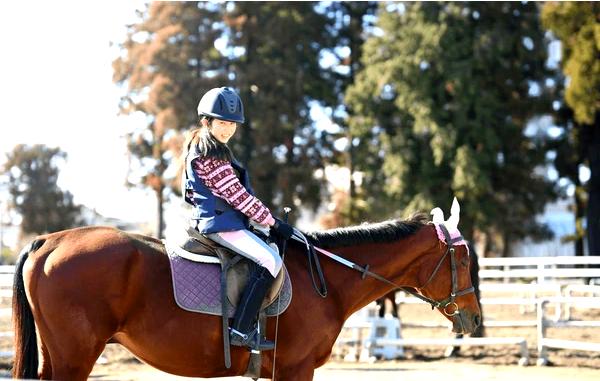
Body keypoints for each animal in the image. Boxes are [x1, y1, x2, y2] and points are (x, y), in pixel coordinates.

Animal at [11, 214, 480, 380]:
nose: (475, 321)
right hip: (75, 358)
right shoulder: (294, 370)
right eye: (461, 259)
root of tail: (50, 241)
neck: (326, 279)